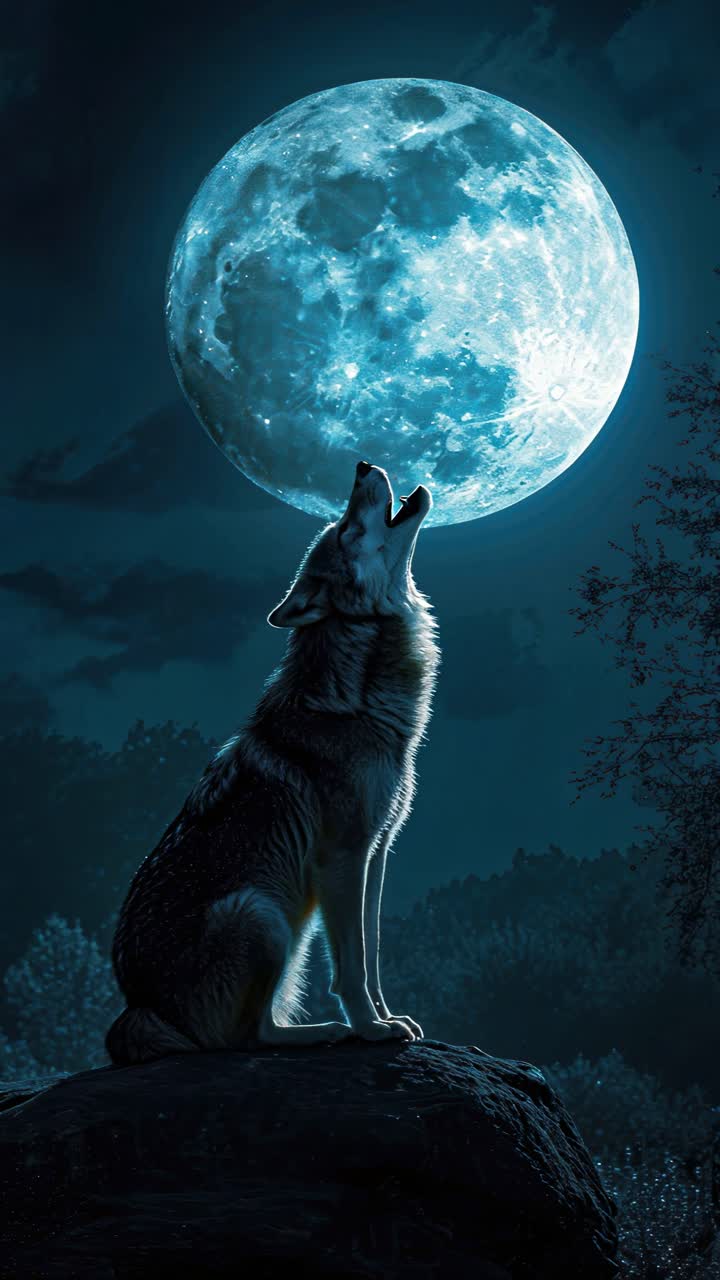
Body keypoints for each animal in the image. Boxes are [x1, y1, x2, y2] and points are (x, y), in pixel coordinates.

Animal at [106, 462, 439, 1063]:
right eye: (345, 529)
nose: (361, 466)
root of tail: (140, 1007)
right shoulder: (342, 857)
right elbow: (351, 967)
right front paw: (371, 1030)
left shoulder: (376, 853)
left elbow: (373, 954)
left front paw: (388, 1017)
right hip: (262, 916)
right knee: (244, 1039)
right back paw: (326, 1032)